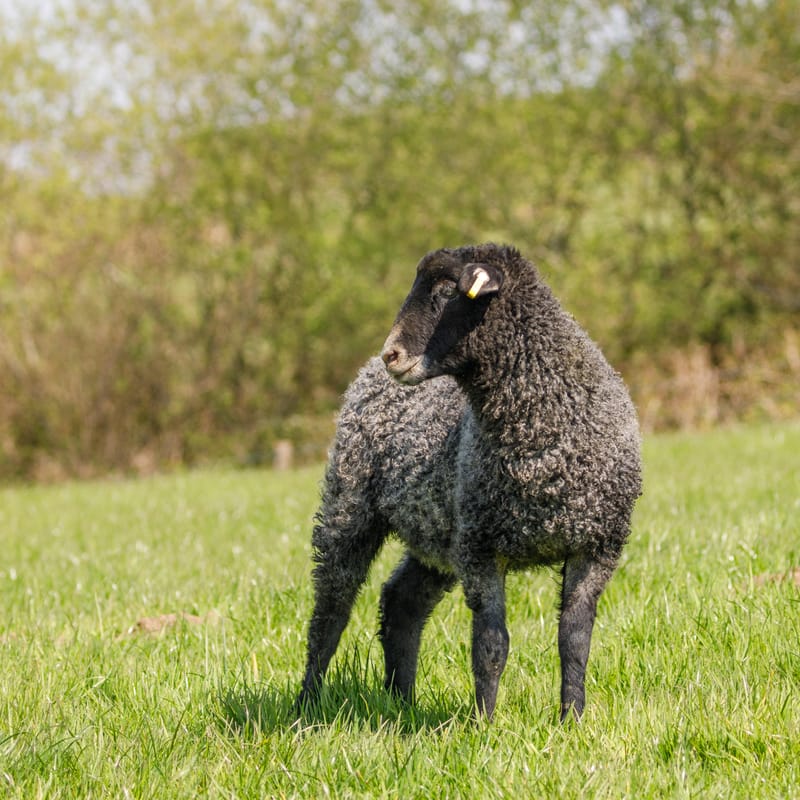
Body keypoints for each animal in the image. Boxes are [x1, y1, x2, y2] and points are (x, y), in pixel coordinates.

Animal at [297, 243, 642, 721]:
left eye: (446, 293)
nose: (392, 355)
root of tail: (365, 375)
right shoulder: (481, 549)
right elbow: (491, 646)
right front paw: (485, 723)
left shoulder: (596, 547)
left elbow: (574, 642)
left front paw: (571, 719)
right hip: (349, 506)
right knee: (330, 612)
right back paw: (306, 706)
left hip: (438, 535)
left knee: (401, 602)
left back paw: (401, 702)